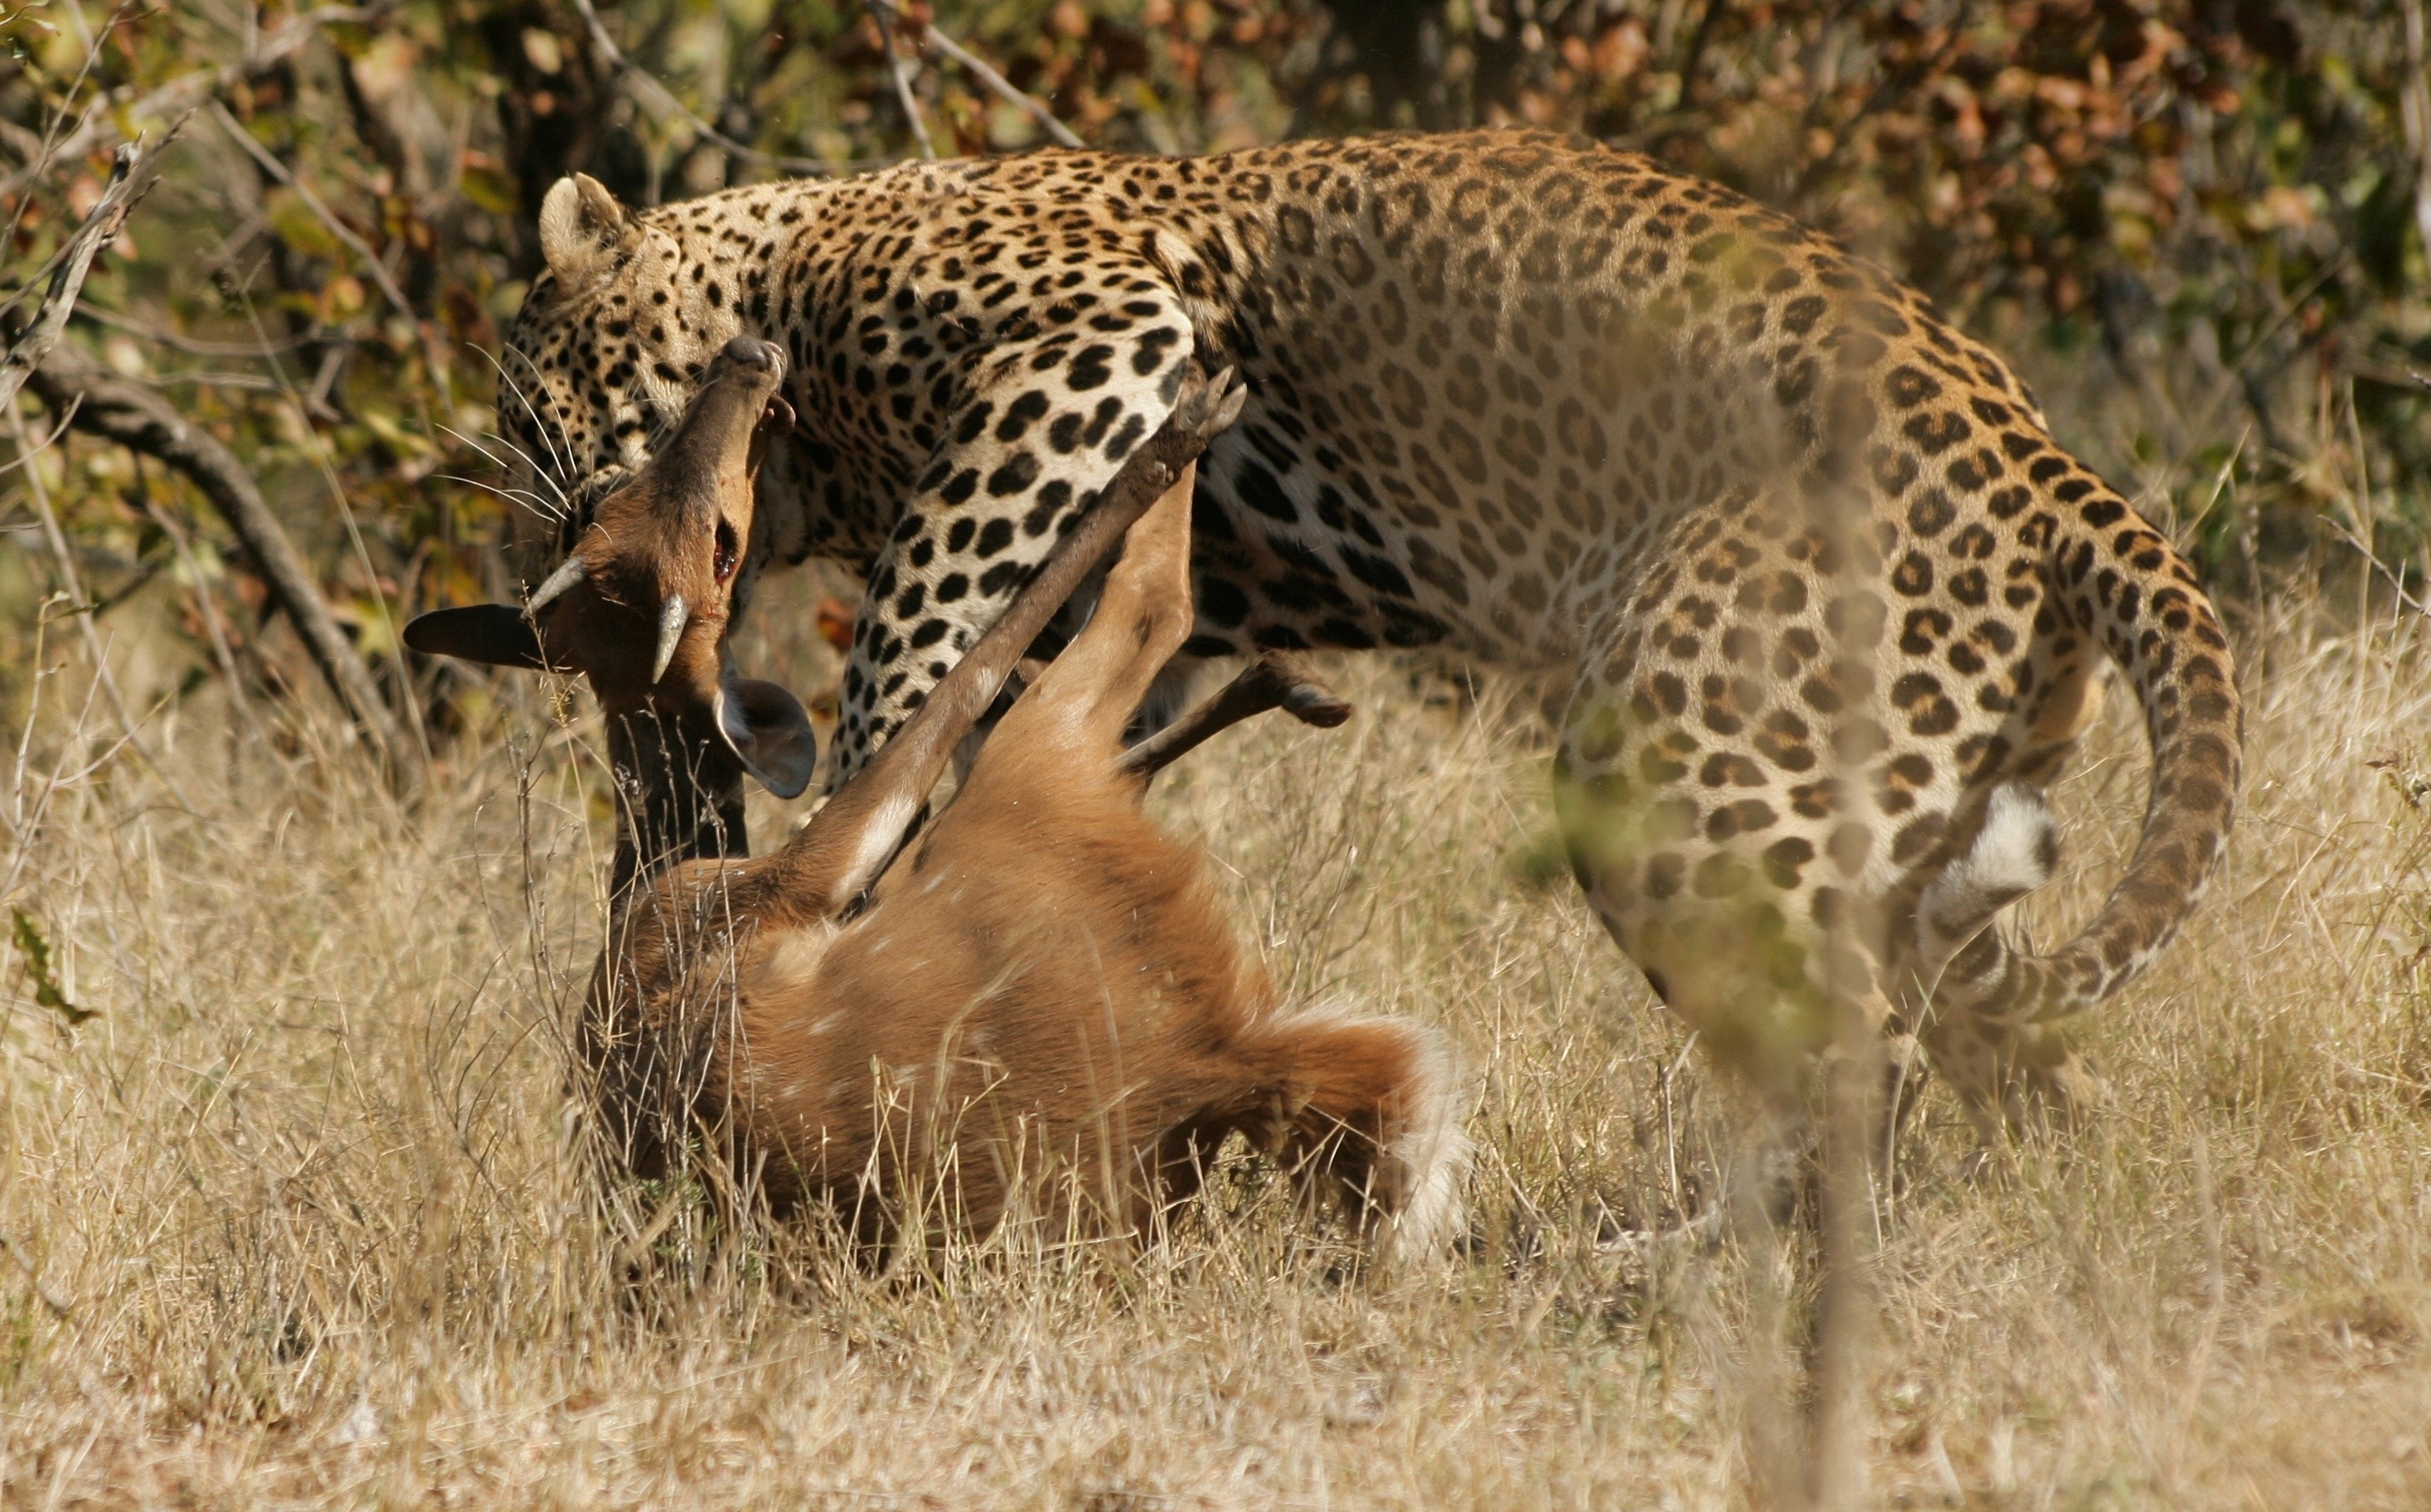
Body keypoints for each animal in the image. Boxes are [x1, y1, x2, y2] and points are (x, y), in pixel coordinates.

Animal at [482, 127, 2242, 1141]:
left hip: (1680, 761)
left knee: (1854, 1047)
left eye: (529, 402)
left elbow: (927, 616)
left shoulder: (1087, 340)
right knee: (1996, 1038)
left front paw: (859, 800)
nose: (539, 563)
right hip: (1907, 803)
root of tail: (2049, 462)